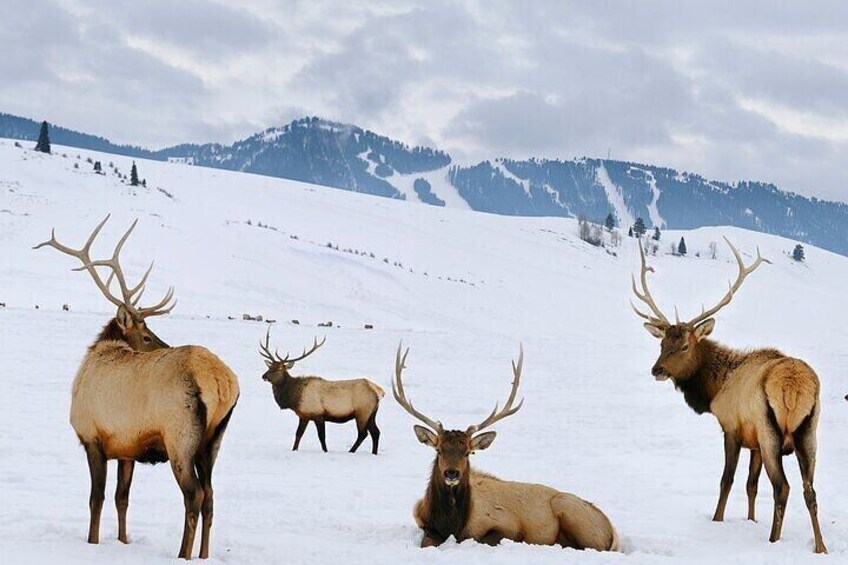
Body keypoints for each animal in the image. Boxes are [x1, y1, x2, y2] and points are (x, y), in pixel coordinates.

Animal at [33, 217, 238, 560]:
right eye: (147, 336)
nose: (164, 344)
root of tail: (222, 382)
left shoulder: (91, 437)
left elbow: (96, 498)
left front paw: (93, 542)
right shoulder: (126, 447)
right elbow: (122, 498)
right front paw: (123, 541)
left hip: (180, 437)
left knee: (193, 495)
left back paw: (183, 554)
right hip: (213, 440)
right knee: (210, 495)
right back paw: (204, 555)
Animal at [258, 326, 384, 454]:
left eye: (279, 369)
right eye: (269, 367)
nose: (264, 376)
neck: (295, 397)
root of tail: (379, 391)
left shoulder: (318, 414)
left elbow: (321, 437)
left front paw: (325, 451)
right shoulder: (304, 415)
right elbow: (298, 434)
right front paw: (294, 449)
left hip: (362, 411)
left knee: (363, 433)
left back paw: (351, 451)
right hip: (372, 413)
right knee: (376, 432)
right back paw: (374, 453)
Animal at [390, 344, 616, 552]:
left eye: (467, 453)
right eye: (438, 450)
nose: (451, 473)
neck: (451, 525)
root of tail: (611, 530)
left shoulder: (507, 526)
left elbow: (486, 539)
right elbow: (426, 542)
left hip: (570, 511)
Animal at [632, 236, 824, 552]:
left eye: (685, 345)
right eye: (662, 344)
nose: (657, 369)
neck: (714, 389)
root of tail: (795, 386)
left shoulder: (732, 428)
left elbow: (727, 480)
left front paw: (717, 520)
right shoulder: (754, 442)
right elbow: (751, 485)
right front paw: (750, 520)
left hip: (771, 432)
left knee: (782, 487)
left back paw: (773, 541)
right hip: (808, 432)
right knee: (810, 490)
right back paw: (820, 547)